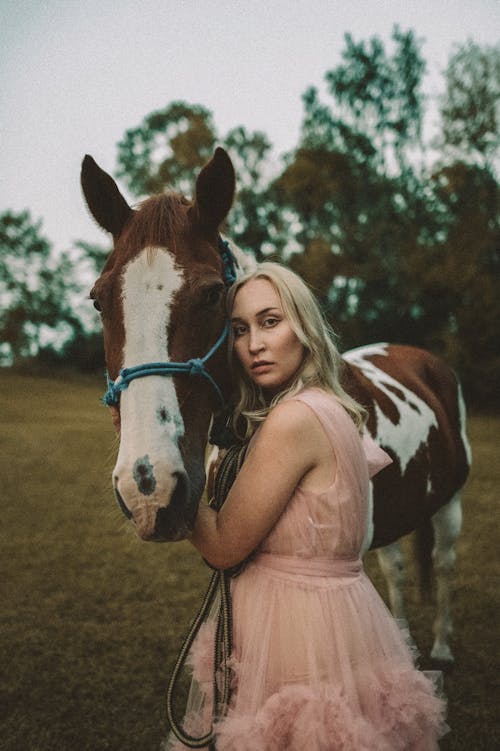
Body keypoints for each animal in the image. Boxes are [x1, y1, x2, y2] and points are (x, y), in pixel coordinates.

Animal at [81, 147, 468, 664]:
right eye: (99, 301)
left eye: (212, 294)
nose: (149, 484)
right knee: (398, 568)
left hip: (450, 503)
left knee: (443, 564)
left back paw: (442, 645)